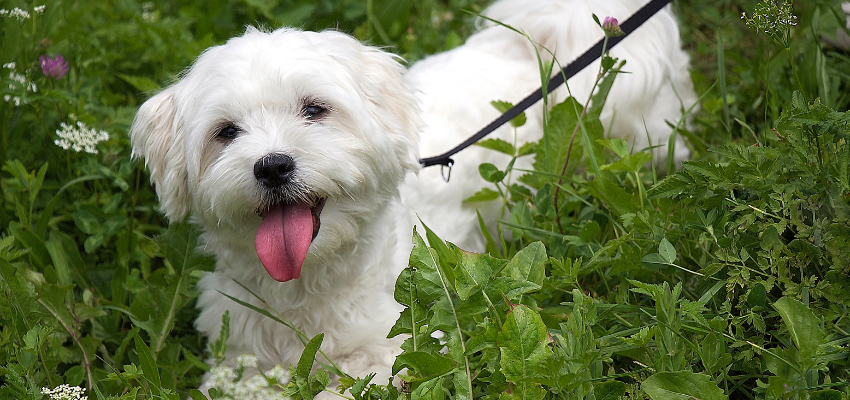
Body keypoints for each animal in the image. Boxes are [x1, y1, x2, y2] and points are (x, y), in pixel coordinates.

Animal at [127, 0, 696, 394]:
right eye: (226, 132)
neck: (307, 290)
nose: (272, 165)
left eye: (314, 109)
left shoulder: (394, 352)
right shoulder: (240, 353)